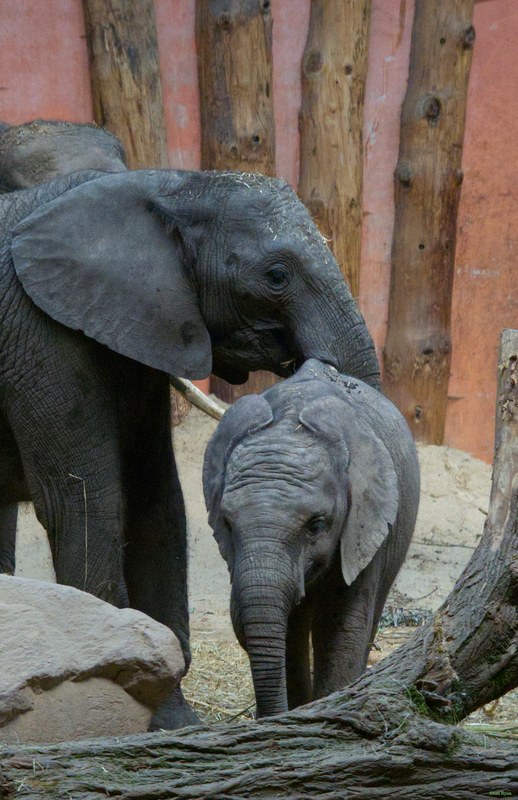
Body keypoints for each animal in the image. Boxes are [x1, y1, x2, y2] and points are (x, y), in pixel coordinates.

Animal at [0, 167, 380, 728]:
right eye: (276, 276)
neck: (165, 187)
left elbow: (156, 503)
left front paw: (173, 720)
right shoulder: (40, 335)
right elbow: (85, 503)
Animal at [203, 359, 419, 718]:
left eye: (316, 526)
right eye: (228, 525)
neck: (290, 418)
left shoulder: (363, 531)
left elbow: (340, 630)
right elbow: (277, 631)